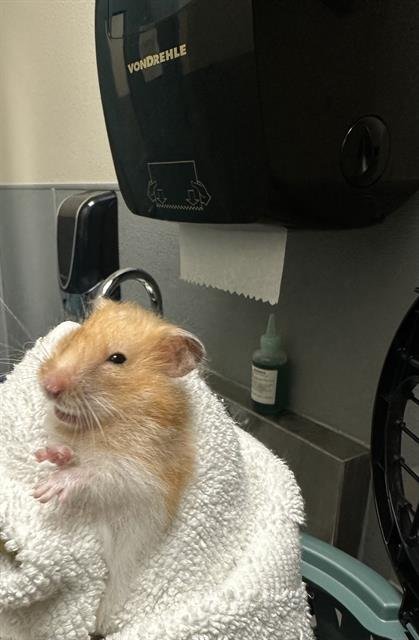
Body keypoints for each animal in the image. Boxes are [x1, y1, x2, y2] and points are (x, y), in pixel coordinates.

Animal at [33, 298, 204, 631]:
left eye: (117, 359)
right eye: (76, 336)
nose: (49, 386)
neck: (108, 422)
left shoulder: (141, 478)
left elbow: (99, 473)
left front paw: (47, 490)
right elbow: (69, 453)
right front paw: (50, 455)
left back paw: (101, 624)